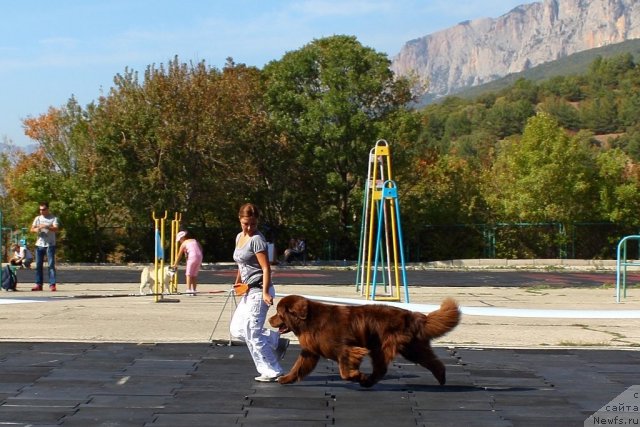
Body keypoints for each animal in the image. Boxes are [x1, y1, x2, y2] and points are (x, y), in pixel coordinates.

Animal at [268, 296, 460, 390]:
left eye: (278, 313)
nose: (269, 319)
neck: (309, 320)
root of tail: (412, 315)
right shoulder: (310, 351)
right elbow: (298, 367)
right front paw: (286, 379)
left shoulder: (346, 349)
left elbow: (345, 371)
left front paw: (356, 376)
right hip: (409, 347)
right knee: (430, 361)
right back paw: (442, 377)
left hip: (387, 347)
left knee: (383, 368)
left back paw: (365, 381)